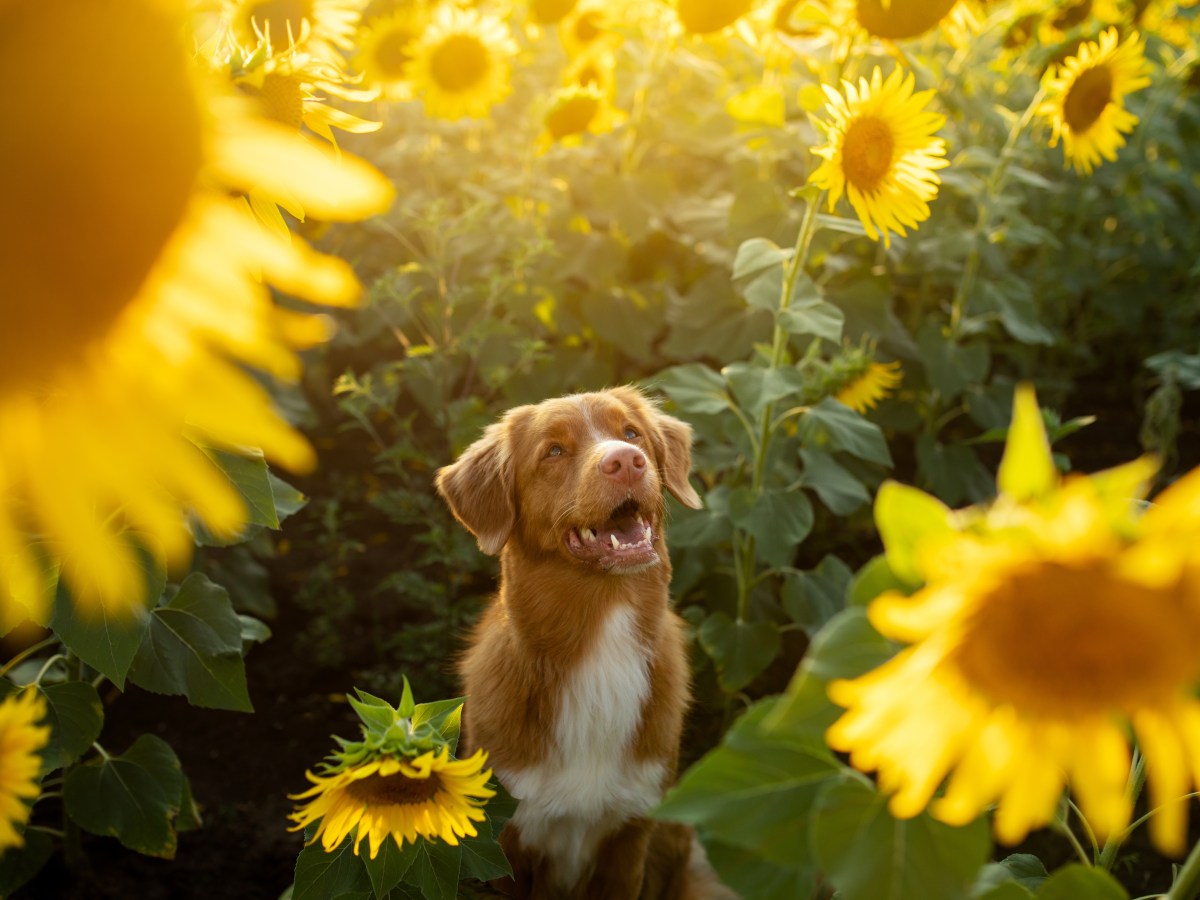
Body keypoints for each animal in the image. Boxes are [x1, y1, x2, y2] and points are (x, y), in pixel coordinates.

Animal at [436, 388, 724, 900]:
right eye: (553, 451)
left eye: (631, 432)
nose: (626, 461)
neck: (600, 635)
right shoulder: (506, 839)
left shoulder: (631, 832)